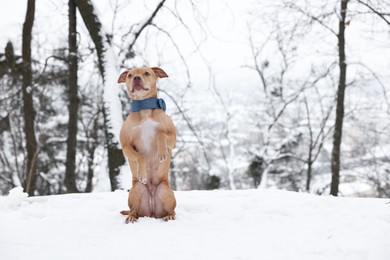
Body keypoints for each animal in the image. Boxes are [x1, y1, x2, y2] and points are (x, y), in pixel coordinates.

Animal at [116, 67, 176, 223]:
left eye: (147, 73)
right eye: (129, 75)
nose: (136, 78)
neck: (144, 109)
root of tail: (152, 213)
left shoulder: (172, 138)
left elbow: (161, 134)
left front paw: (162, 152)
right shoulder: (126, 146)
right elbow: (140, 156)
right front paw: (142, 173)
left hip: (165, 191)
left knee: (172, 210)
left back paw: (169, 216)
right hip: (136, 190)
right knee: (133, 210)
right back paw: (131, 217)